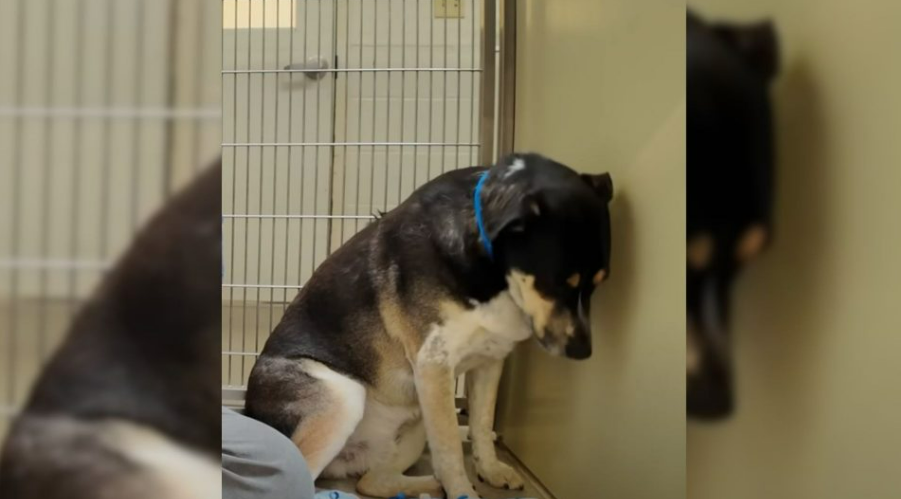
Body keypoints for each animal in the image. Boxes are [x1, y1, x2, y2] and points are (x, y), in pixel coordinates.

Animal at [244, 153, 612, 499]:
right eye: (555, 283)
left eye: (600, 282)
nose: (584, 352)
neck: (490, 271)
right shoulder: (434, 365)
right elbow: (450, 448)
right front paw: (463, 492)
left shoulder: (490, 361)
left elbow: (481, 424)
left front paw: (491, 471)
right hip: (343, 396)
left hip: (414, 423)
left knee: (372, 482)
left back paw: (428, 484)